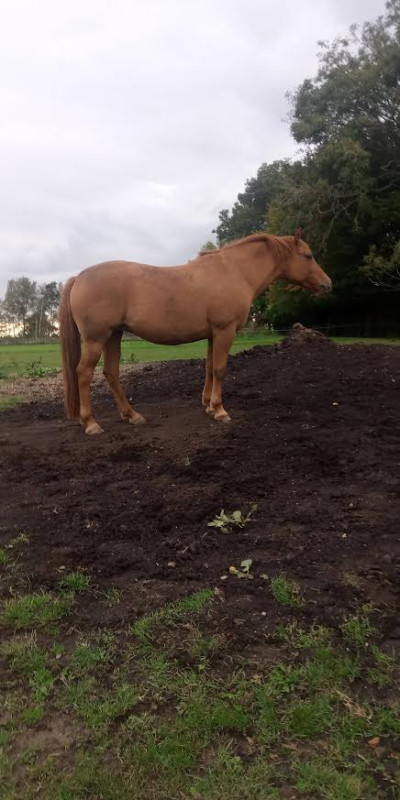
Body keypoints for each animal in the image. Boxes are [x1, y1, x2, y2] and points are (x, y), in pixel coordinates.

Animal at [57, 228, 330, 434]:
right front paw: (220, 410)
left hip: (114, 336)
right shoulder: (224, 331)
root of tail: (79, 277)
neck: (235, 271)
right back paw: (91, 423)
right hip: (96, 339)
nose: (327, 284)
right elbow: (220, 369)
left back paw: (132, 415)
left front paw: (208, 405)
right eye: (308, 256)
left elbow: (209, 368)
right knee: (84, 373)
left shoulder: (212, 334)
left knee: (111, 373)